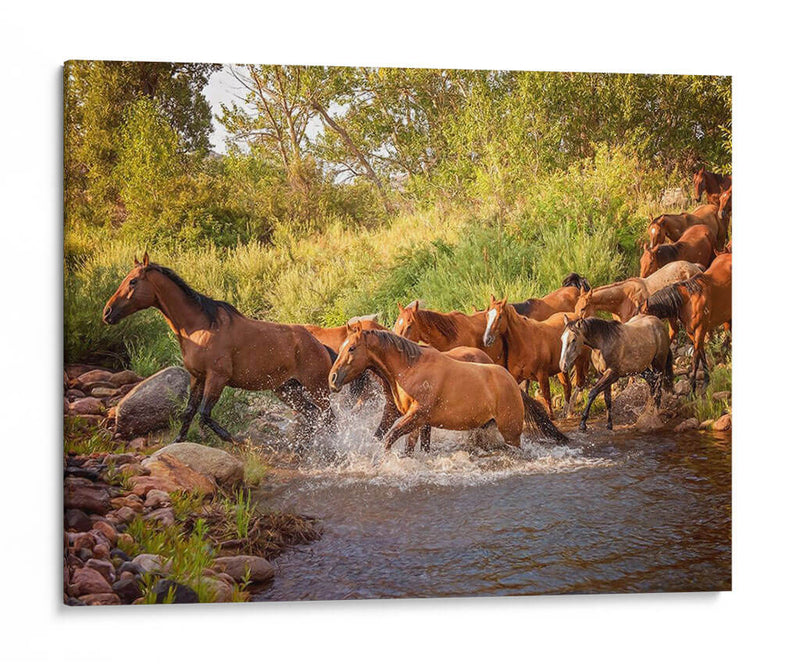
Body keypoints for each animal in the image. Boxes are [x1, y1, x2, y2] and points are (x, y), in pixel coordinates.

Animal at [103, 254, 334, 446]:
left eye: (133, 281)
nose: (107, 312)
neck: (201, 327)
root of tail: (319, 345)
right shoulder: (198, 378)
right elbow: (189, 412)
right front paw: (178, 442)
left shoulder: (217, 378)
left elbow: (204, 414)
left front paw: (238, 441)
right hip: (287, 389)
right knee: (313, 415)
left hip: (316, 388)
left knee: (328, 417)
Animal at [326, 322, 568, 452]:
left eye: (352, 348)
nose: (332, 378)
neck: (410, 369)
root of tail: (513, 385)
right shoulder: (419, 422)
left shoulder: (416, 416)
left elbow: (390, 438)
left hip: (511, 433)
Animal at [644, 252, 732, 392]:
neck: (688, 301)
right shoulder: (692, 332)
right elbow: (701, 353)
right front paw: (705, 381)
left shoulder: (700, 330)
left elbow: (695, 358)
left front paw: (693, 388)